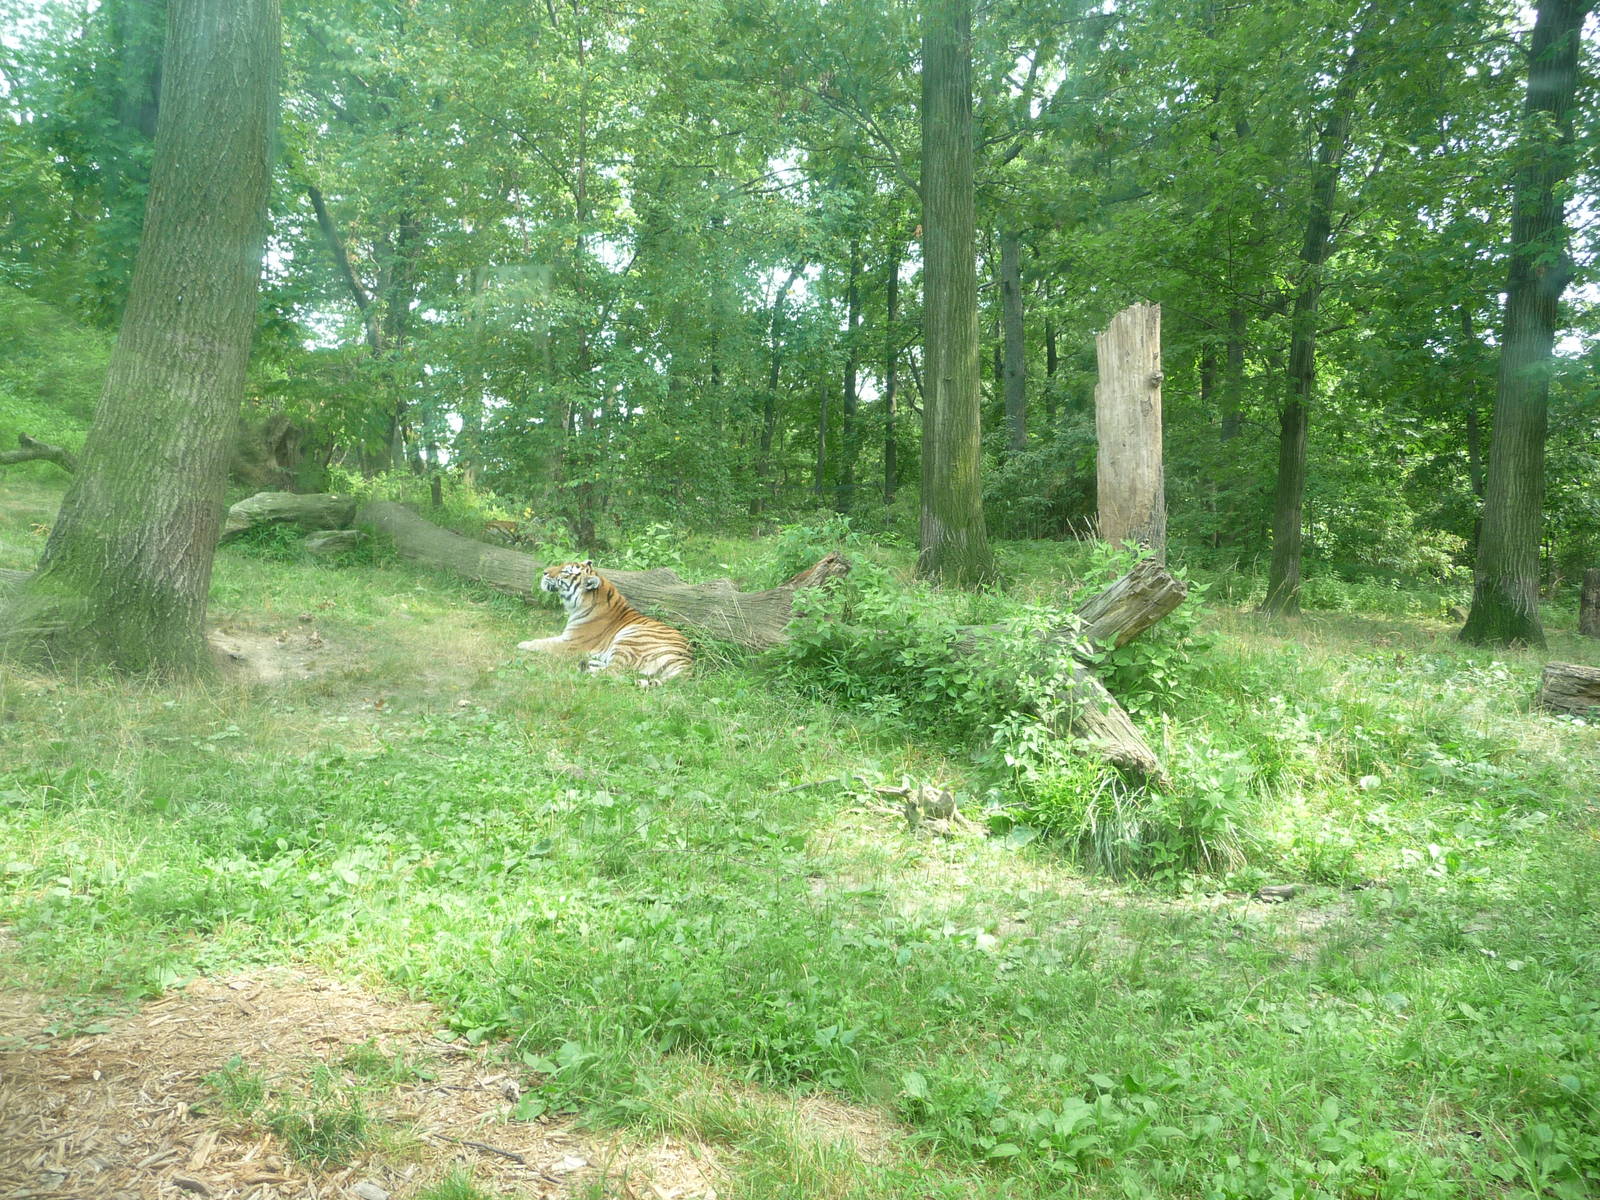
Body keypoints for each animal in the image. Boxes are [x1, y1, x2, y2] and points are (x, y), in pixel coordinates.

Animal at [517, 559, 693, 686]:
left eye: (565, 571)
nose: (544, 572)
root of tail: (687, 661)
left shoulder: (572, 643)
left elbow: (545, 643)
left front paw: (522, 644)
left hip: (629, 639)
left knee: (615, 672)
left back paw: (588, 672)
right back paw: (591, 663)